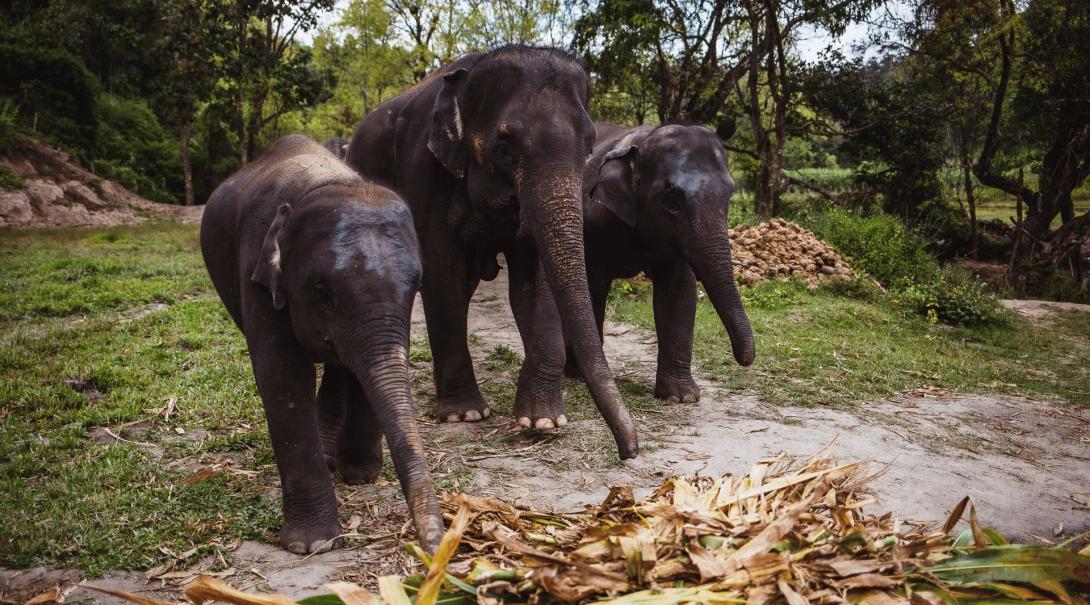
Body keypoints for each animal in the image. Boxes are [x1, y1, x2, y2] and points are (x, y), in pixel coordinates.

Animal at [200, 134, 444, 554]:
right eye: (321, 291)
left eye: (417, 285)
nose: (437, 548)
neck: (330, 183)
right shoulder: (256, 269)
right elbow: (281, 376)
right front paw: (312, 544)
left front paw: (359, 476)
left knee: (340, 364)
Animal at [345, 45, 638, 458]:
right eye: (504, 146)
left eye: (589, 146)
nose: (629, 450)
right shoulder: (424, 173)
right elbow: (442, 273)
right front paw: (464, 414)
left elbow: (534, 284)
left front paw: (544, 421)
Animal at [522, 123, 756, 405]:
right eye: (671, 202)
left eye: (730, 193)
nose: (744, 359)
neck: (641, 144)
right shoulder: (593, 224)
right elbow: (592, 286)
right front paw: (580, 375)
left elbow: (679, 290)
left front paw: (681, 397)